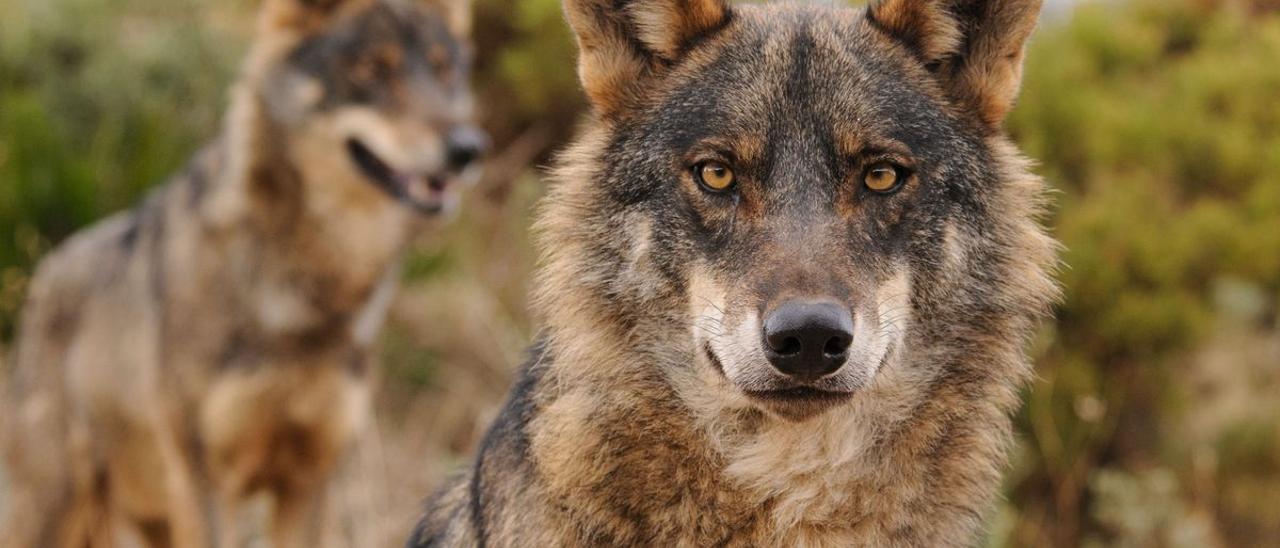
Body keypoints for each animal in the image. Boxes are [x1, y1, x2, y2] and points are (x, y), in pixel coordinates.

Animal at [2, 0, 481, 545]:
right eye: (371, 69)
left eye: (444, 70)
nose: (468, 148)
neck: (304, 297)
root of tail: (46, 268)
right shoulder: (207, 481)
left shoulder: (309, 480)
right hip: (59, 511)